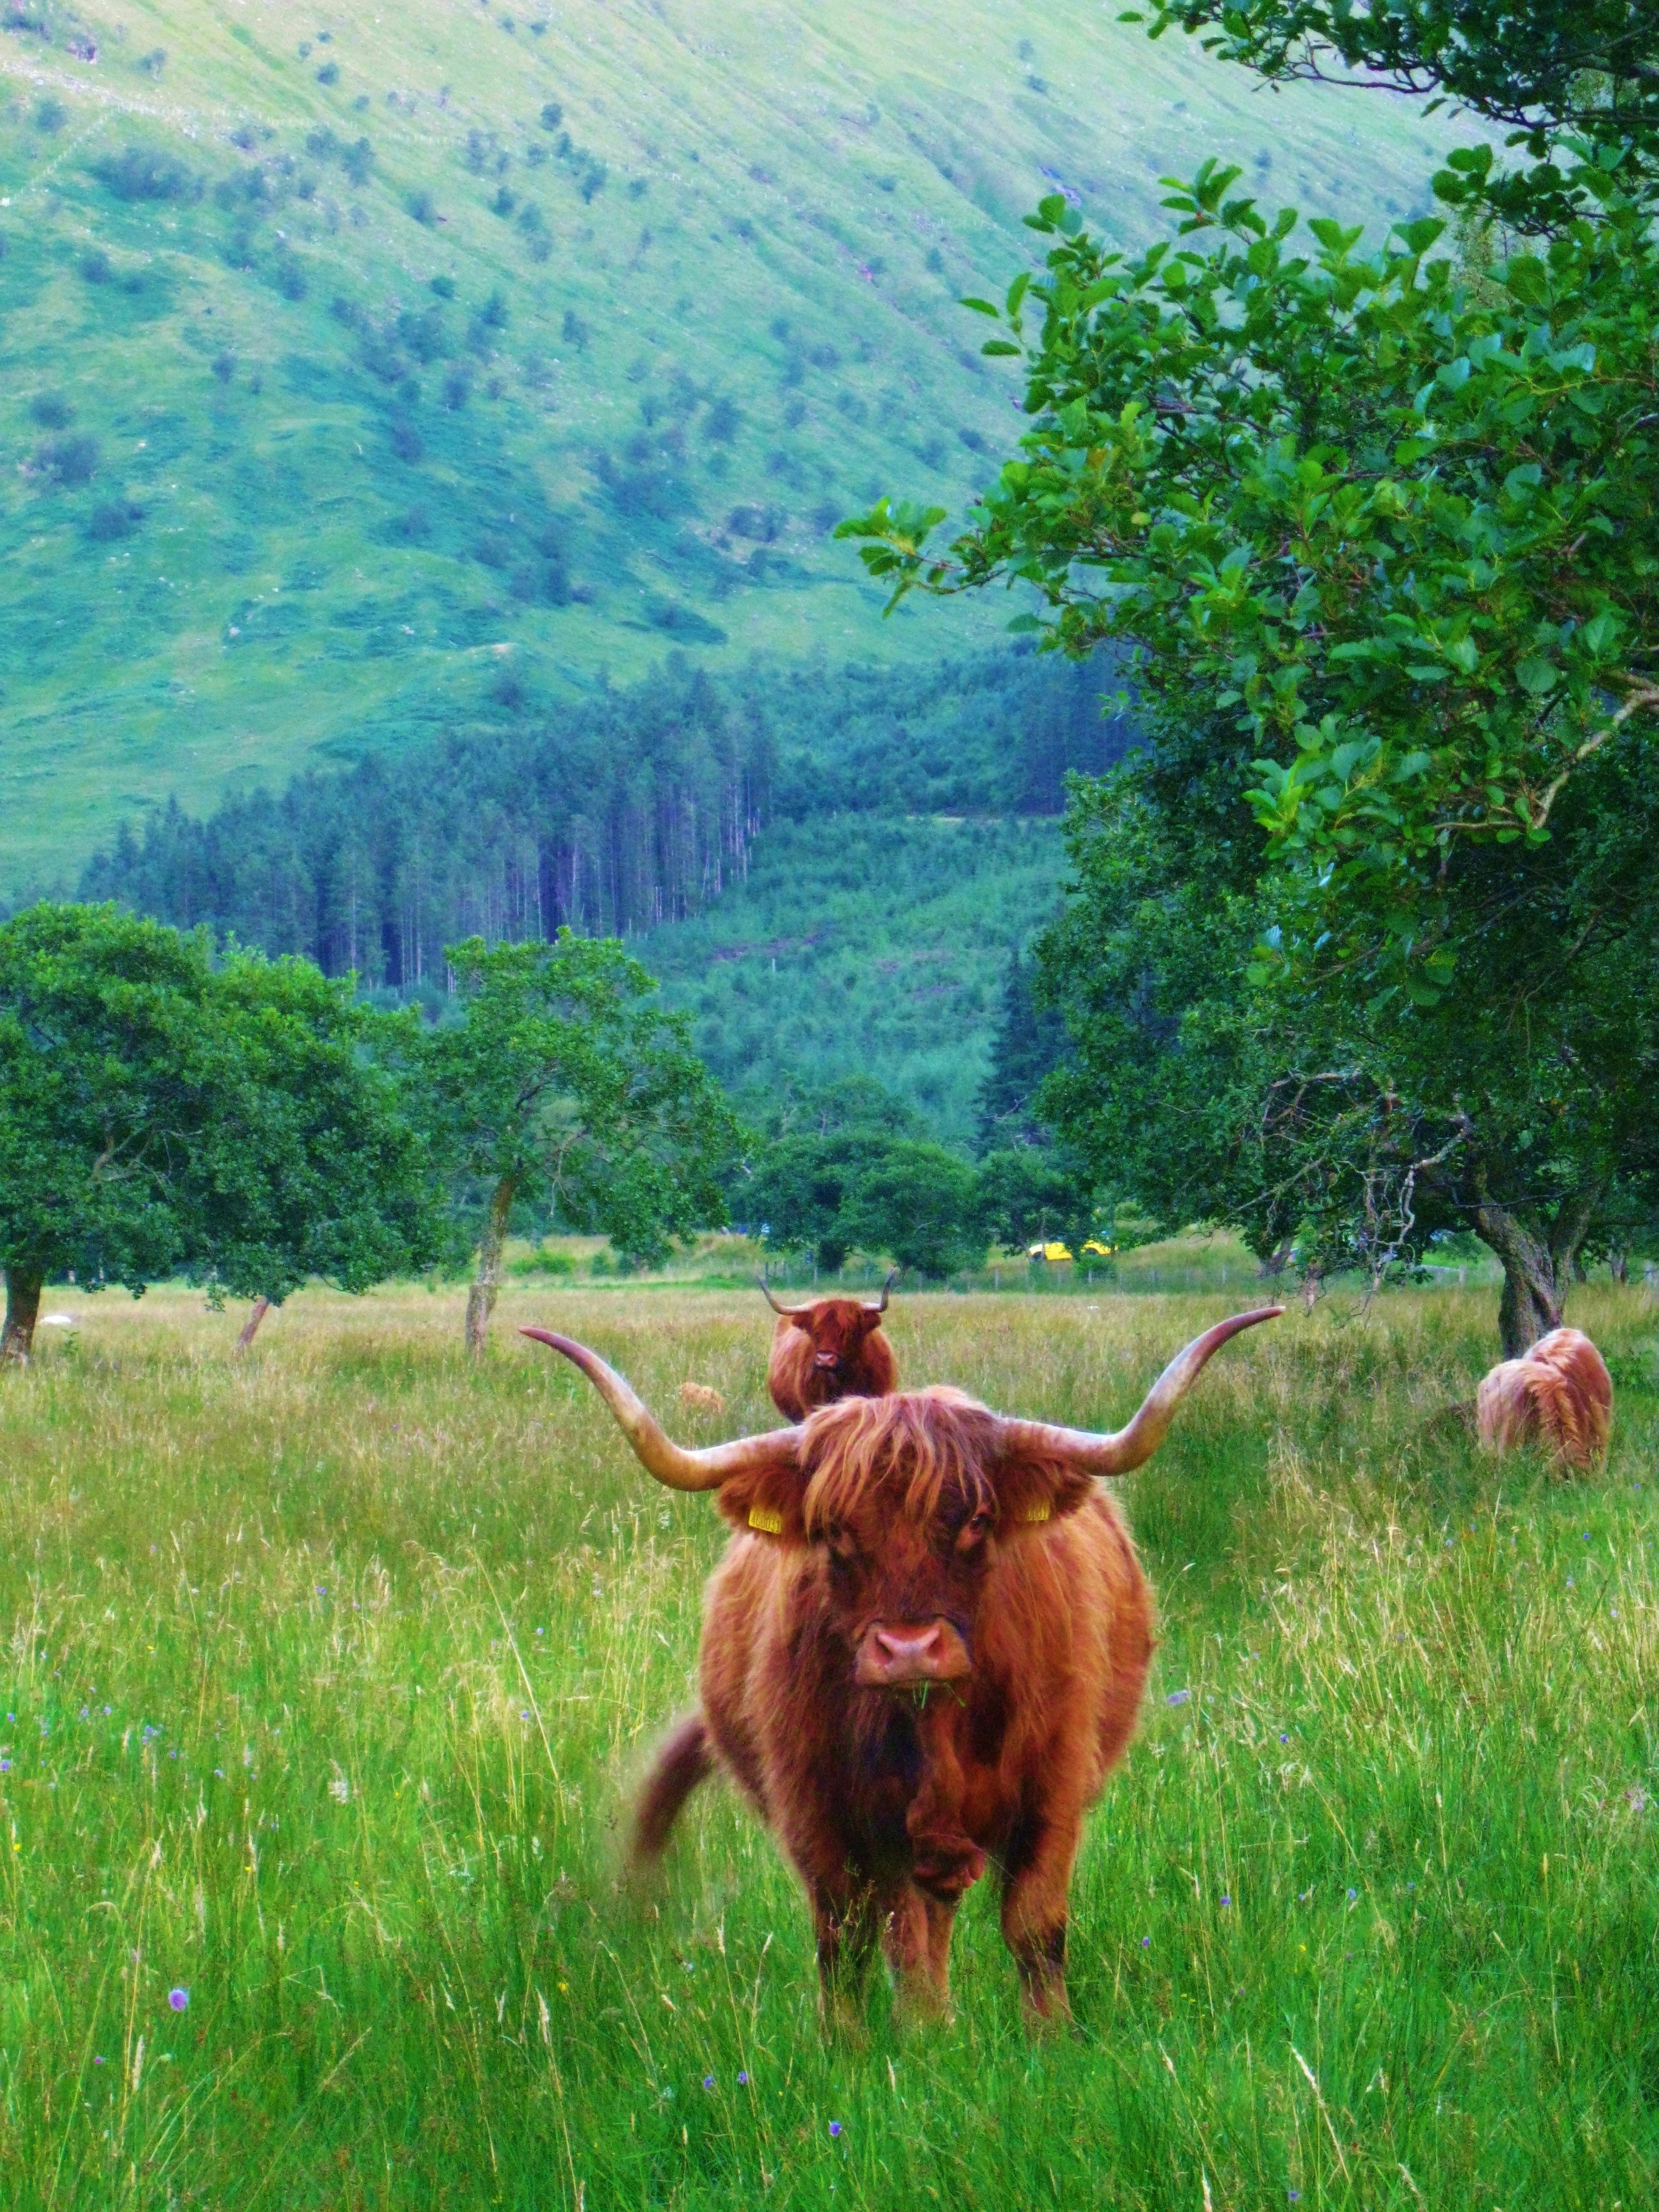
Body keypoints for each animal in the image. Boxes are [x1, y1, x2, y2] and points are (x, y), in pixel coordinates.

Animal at [522, 1304, 1282, 2028]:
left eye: (978, 1519)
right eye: (832, 1529)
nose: (910, 1649)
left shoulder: (1055, 1786)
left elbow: (1035, 1927)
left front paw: (1052, 2038)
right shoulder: (823, 1810)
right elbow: (852, 1939)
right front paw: (861, 2047)